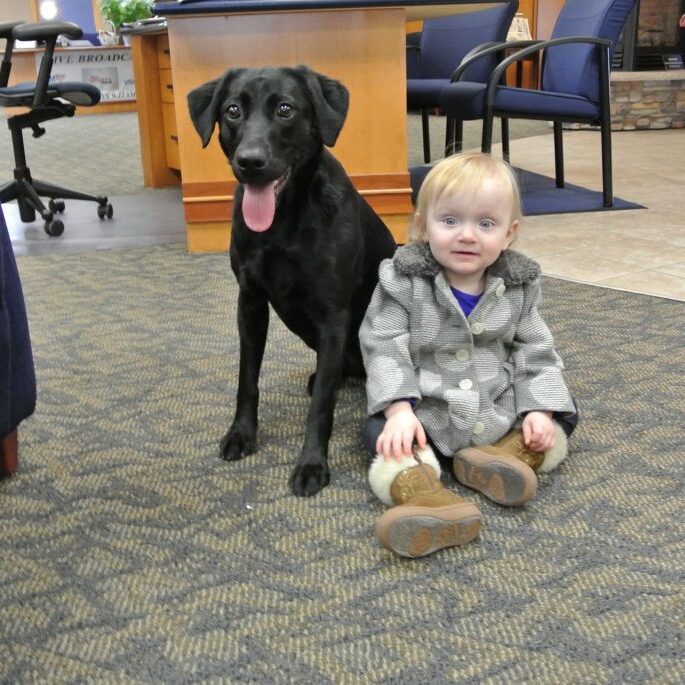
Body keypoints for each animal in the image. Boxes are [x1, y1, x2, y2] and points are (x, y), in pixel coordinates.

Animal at [187, 67, 396, 494]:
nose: (250, 161)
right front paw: (241, 434)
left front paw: (312, 463)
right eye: (232, 110)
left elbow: (321, 407)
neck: (282, 223)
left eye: (285, 109)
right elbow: (247, 380)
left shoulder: (333, 316)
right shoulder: (250, 304)